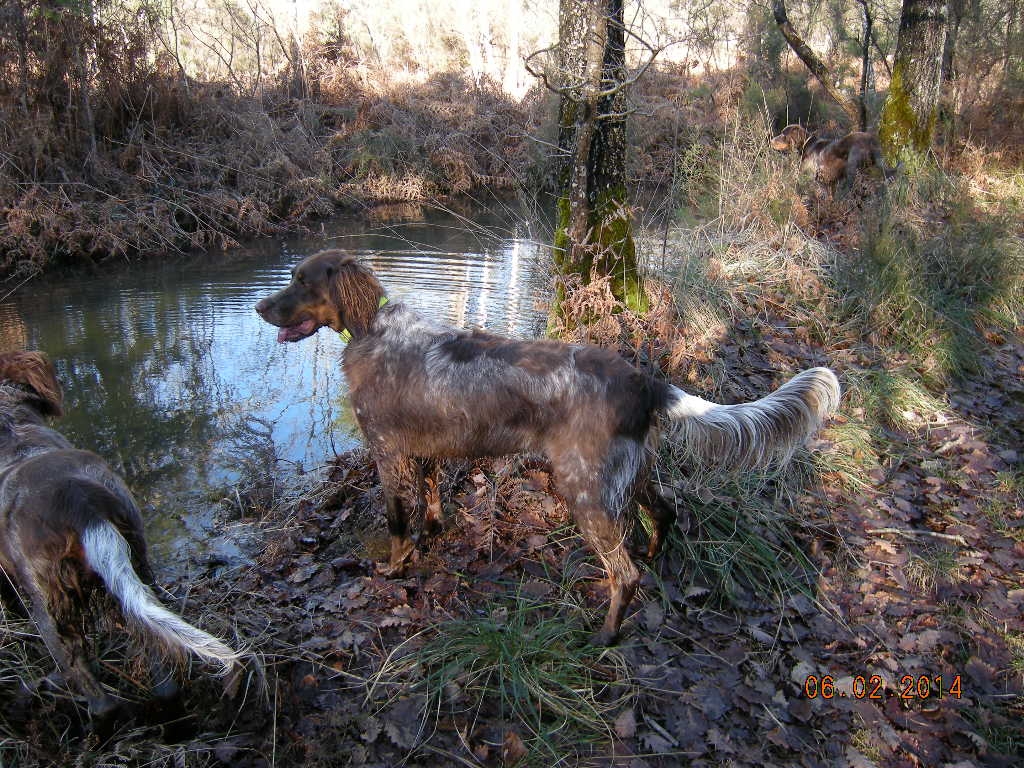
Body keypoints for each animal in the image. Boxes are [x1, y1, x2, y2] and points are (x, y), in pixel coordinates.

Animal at [0, 352, 237, 724]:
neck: (10, 428)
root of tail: (81, 504)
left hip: (51, 613)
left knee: (98, 698)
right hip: (139, 568)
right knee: (162, 673)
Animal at [253, 250, 839, 643]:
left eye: (301, 280)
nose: (258, 308)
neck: (372, 331)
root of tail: (644, 382)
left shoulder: (387, 454)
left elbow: (398, 525)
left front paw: (394, 570)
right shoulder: (421, 452)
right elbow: (431, 503)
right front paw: (433, 534)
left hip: (584, 489)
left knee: (624, 572)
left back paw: (605, 634)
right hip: (630, 474)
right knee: (665, 514)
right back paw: (655, 558)